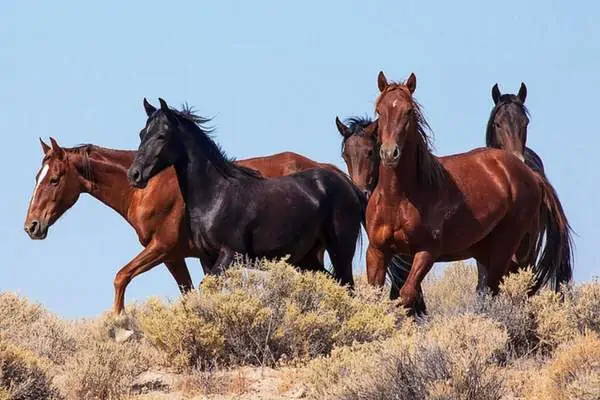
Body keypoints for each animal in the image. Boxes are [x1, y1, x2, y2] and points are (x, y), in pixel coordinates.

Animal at [128, 99, 364, 288]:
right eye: (141, 133)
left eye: (162, 135)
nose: (134, 174)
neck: (216, 196)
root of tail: (347, 184)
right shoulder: (207, 258)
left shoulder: (230, 254)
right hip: (307, 258)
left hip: (340, 252)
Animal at [366, 71, 572, 310]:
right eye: (380, 111)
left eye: (409, 111)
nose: (390, 153)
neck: (398, 198)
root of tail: (530, 174)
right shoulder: (377, 251)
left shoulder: (426, 252)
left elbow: (406, 295)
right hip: (487, 253)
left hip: (509, 250)